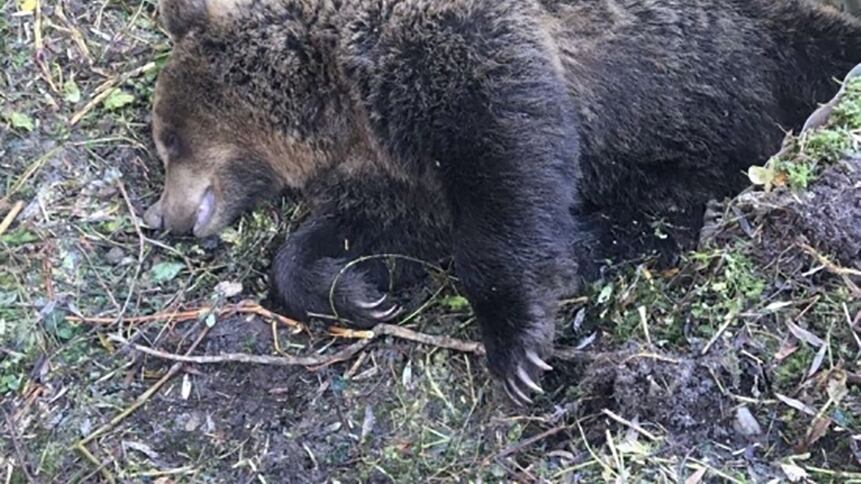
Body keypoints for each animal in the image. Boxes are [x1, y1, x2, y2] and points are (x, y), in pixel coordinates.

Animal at [143, 0, 861, 404]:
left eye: (167, 137)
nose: (165, 217)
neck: (337, 98)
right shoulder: (386, 170)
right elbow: (370, 228)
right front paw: (359, 294)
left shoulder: (454, 54)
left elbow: (505, 163)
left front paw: (518, 347)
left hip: (750, 44)